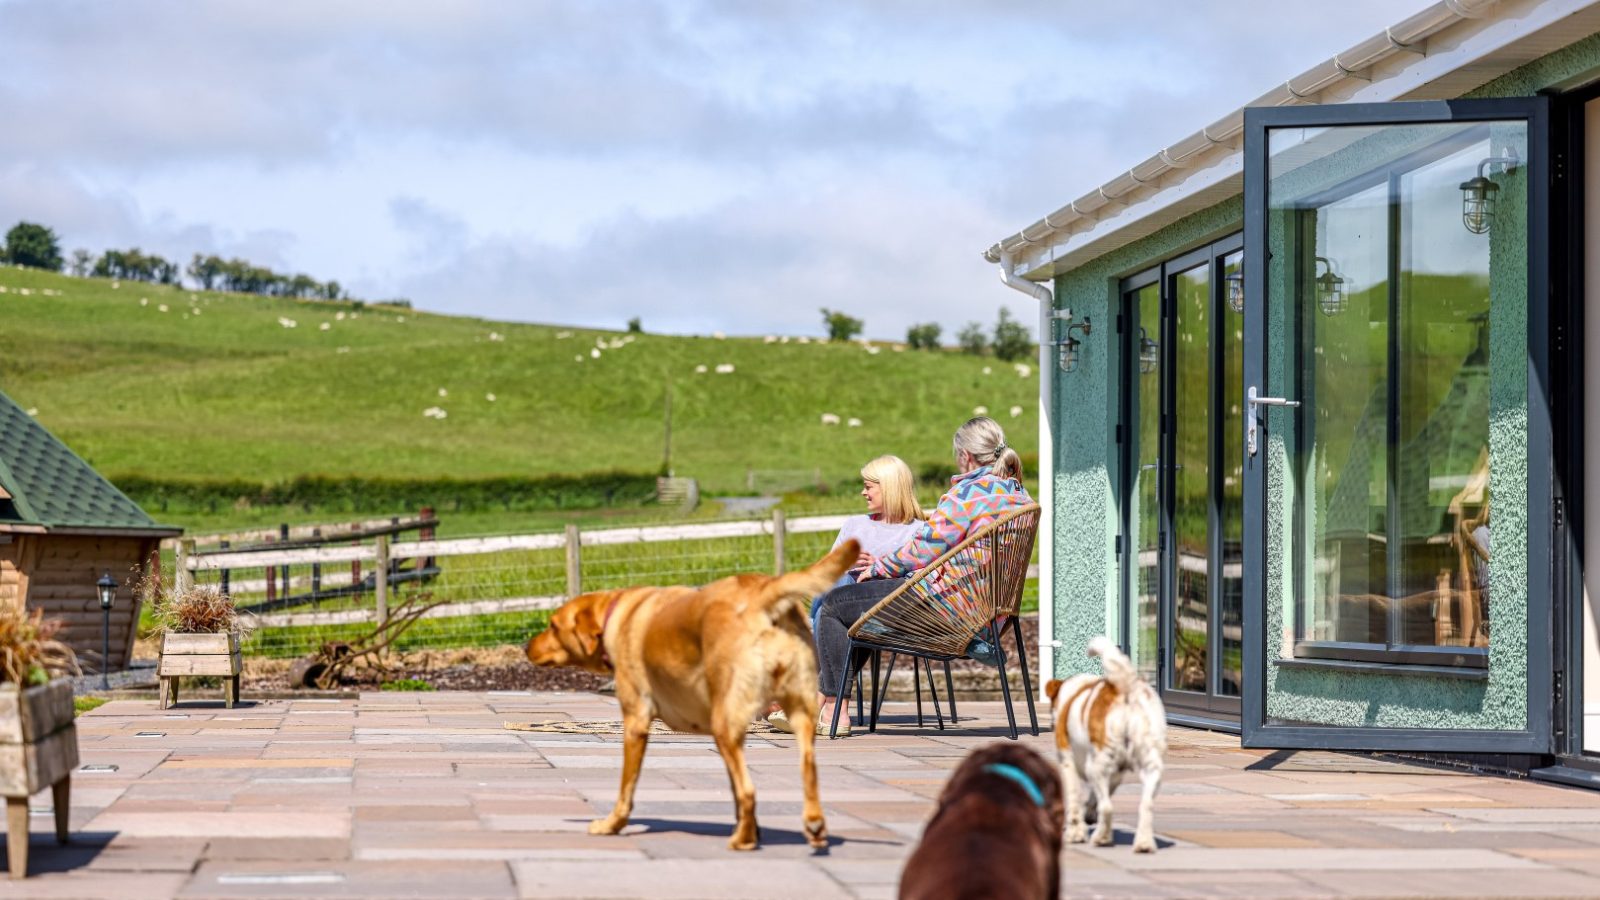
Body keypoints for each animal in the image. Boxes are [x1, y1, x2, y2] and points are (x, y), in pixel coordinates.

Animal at [524, 538, 857, 845]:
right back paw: (809, 827)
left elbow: (626, 787)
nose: (525, 646)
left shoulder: (635, 722)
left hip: (725, 724)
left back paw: (743, 841)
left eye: (552, 625)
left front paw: (612, 824)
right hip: (797, 715)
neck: (615, 615)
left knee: (750, 790)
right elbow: (734, 788)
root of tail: (763, 594)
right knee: (807, 773)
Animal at [1036, 634, 1164, 851]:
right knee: (1146, 804)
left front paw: (1075, 833)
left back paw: (1101, 838)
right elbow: (1095, 797)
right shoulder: (1115, 773)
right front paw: (1089, 814)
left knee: (1107, 807)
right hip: (1150, 765)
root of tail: (1125, 687)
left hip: (1095, 764)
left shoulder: (1067, 762)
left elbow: (1074, 799)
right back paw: (1144, 843)